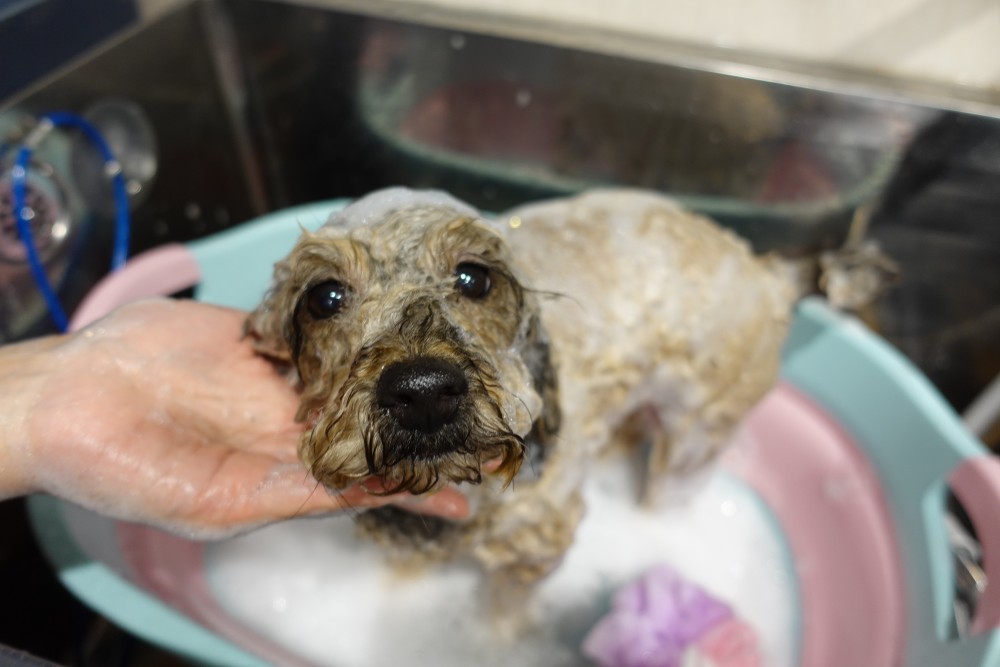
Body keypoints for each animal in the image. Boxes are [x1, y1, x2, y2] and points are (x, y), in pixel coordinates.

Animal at [246, 187, 889, 601]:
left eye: (475, 277)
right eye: (323, 297)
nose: (424, 390)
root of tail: (767, 272)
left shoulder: (536, 552)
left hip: (698, 436)